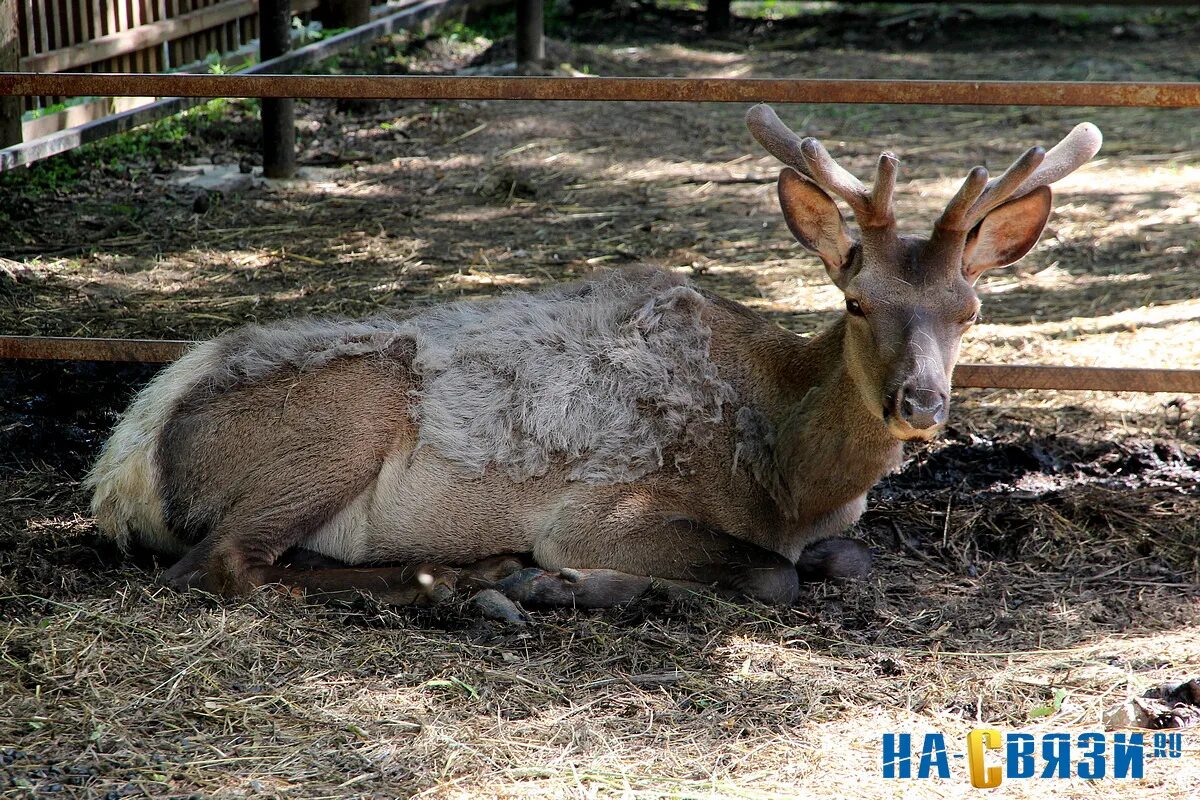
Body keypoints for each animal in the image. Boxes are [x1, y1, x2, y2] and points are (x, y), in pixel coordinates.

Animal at [84, 103, 1099, 609]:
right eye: (856, 302)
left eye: (970, 310)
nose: (919, 403)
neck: (784, 477)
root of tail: (120, 467)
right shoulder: (605, 506)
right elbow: (767, 574)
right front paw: (583, 579)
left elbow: (848, 560)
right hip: (340, 422)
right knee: (219, 565)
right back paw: (463, 579)